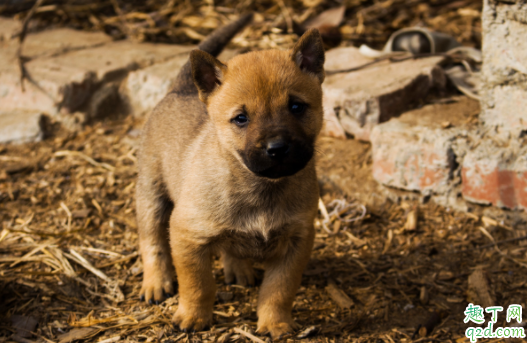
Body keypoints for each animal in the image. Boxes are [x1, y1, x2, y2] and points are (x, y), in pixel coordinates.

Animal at [135, 14, 326, 340]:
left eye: (296, 106)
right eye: (241, 118)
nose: (277, 148)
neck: (260, 188)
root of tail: (180, 89)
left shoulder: (297, 241)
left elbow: (279, 289)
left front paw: (275, 323)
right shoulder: (187, 236)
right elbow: (197, 285)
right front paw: (193, 316)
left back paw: (238, 269)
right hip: (151, 197)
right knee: (152, 242)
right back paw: (156, 282)